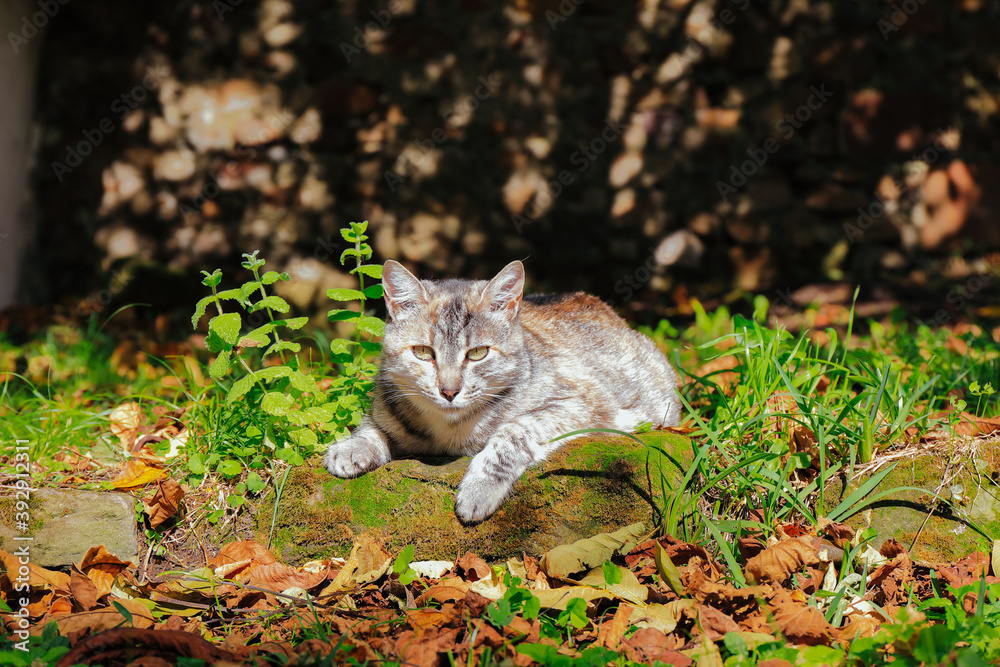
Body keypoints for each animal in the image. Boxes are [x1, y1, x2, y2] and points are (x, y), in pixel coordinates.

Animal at [324, 258, 684, 524]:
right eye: (423, 353)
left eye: (478, 353)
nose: (449, 391)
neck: (450, 429)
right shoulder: (386, 405)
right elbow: (372, 426)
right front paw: (352, 447)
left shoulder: (579, 404)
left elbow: (513, 431)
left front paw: (479, 488)